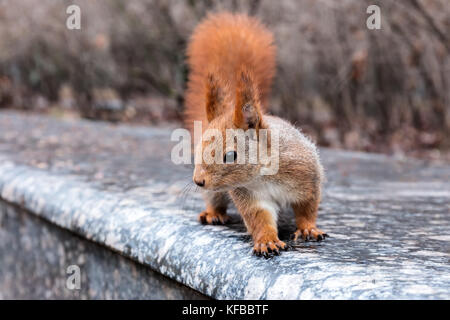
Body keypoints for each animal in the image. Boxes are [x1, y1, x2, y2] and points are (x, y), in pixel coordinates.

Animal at [183, 13, 326, 258]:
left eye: (231, 155)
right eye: (198, 150)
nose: (198, 181)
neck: (265, 174)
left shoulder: (307, 177)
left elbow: (307, 207)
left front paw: (308, 228)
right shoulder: (249, 195)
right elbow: (260, 218)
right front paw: (267, 241)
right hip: (216, 192)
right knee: (215, 198)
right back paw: (213, 213)